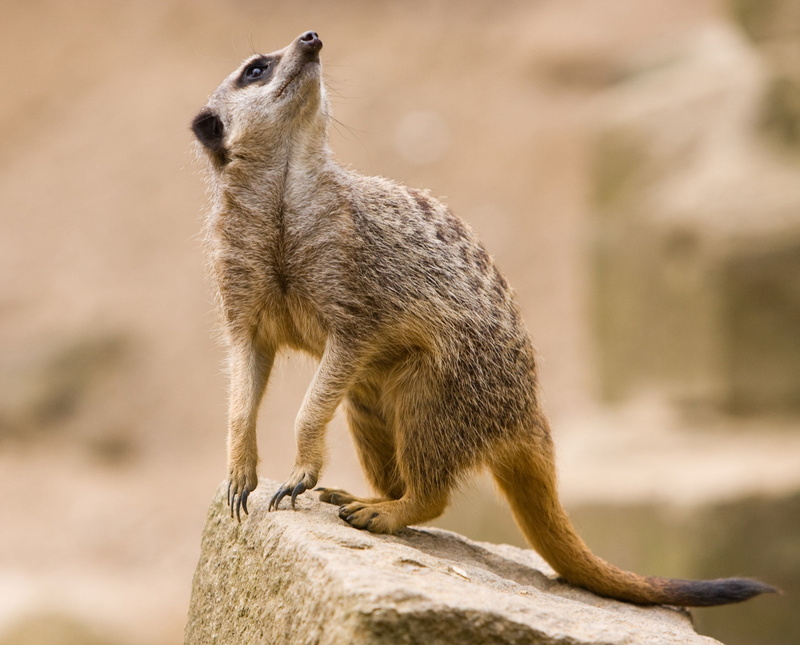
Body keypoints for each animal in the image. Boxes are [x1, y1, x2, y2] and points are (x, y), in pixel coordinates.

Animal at [190, 31, 776, 606]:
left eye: (271, 60)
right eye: (256, 69)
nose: (311, 38)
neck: (283, 207)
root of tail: (526, 415)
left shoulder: (354, 284)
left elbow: (325, 383)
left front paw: (302, 470)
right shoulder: (237, 287)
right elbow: (244, 369)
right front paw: (240, 471)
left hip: (444, 386)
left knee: (431, 478)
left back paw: (386, 510)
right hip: (371, 399)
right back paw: (366, 494)